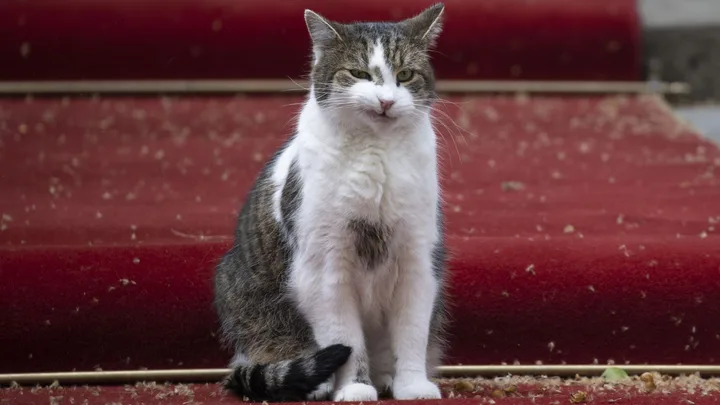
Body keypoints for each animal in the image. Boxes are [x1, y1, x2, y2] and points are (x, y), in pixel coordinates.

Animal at [214, 3, 448, 400]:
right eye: (358, 73)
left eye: (405, 74)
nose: (386, 100)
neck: (376, 153)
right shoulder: (325, 268)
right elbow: (345, 339)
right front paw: (355, 388)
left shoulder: (417, 259)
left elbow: (413, 334)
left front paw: (414, 385)